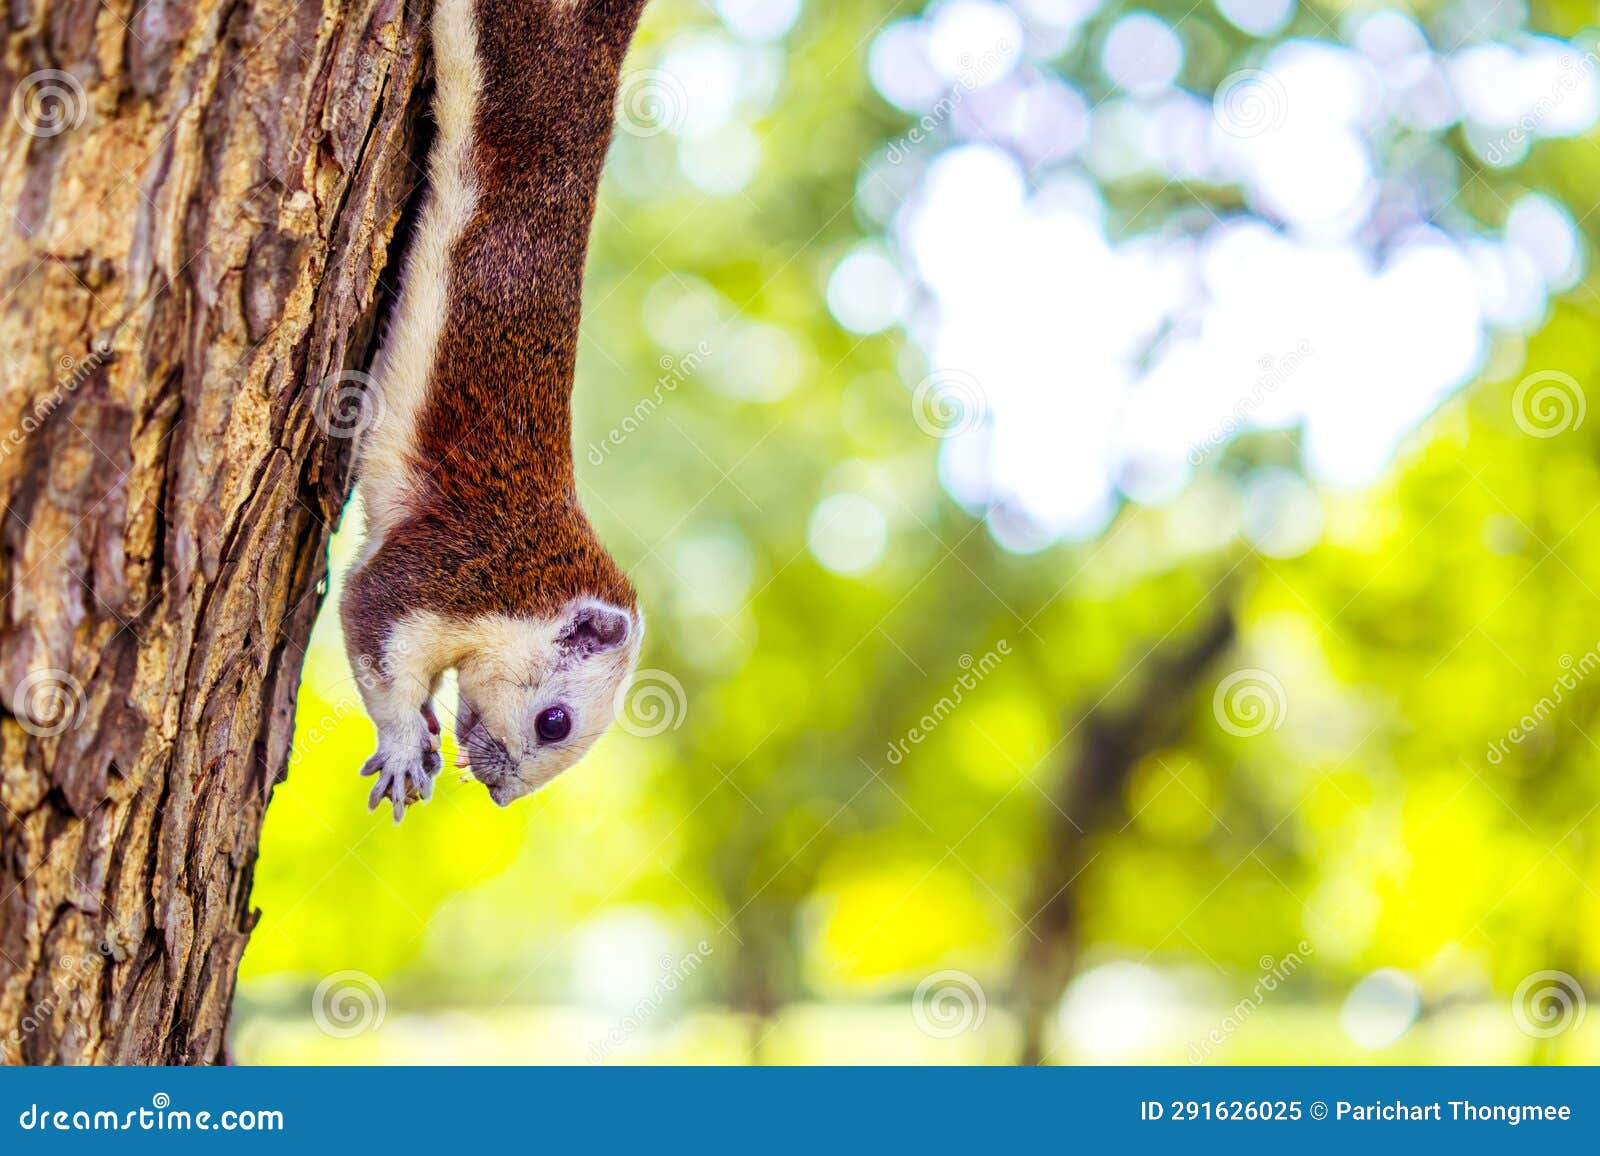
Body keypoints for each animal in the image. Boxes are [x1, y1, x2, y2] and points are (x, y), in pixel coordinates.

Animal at [339, 0, 652, 821]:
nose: (502, 796)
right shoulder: (450, 572)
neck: (534, 582)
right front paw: (400, 749)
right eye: (555, 721)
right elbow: (370, 625)